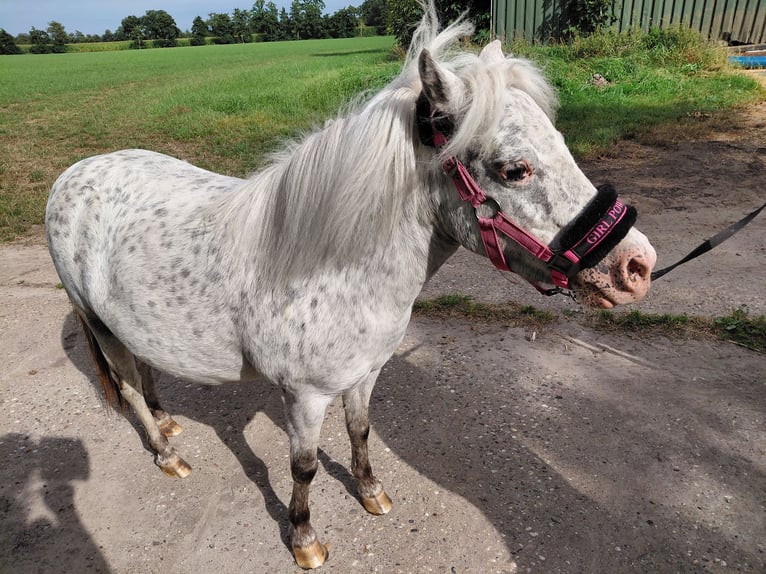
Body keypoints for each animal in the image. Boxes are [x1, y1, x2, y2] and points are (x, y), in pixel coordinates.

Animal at [45, 4, 656, 569]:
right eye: (514, 169)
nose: (637, 265)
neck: (333, 265)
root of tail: (72, 175)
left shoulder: (365, 373)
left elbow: (360, 431)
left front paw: (371, 493)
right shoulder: (303, 396)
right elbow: (304, 467)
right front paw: (305, 540)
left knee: (143, 370)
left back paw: (167, 420)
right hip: (98, 324)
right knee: (126, 389)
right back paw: (167, 454)